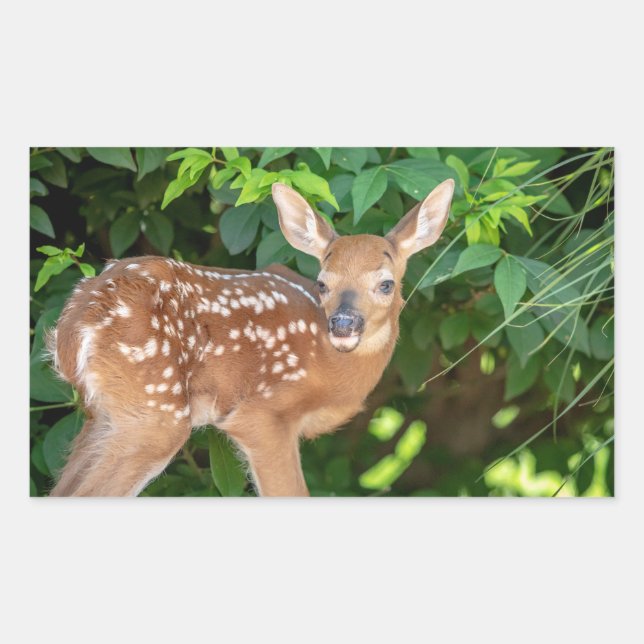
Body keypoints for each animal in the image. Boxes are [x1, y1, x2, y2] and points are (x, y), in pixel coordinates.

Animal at [46, 178, 455, 496]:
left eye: (386, 284)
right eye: (323, 283)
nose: (342, 324)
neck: (329, 369)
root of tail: (74, 324)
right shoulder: (262, 412)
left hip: (103, 415)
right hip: (153, 410)